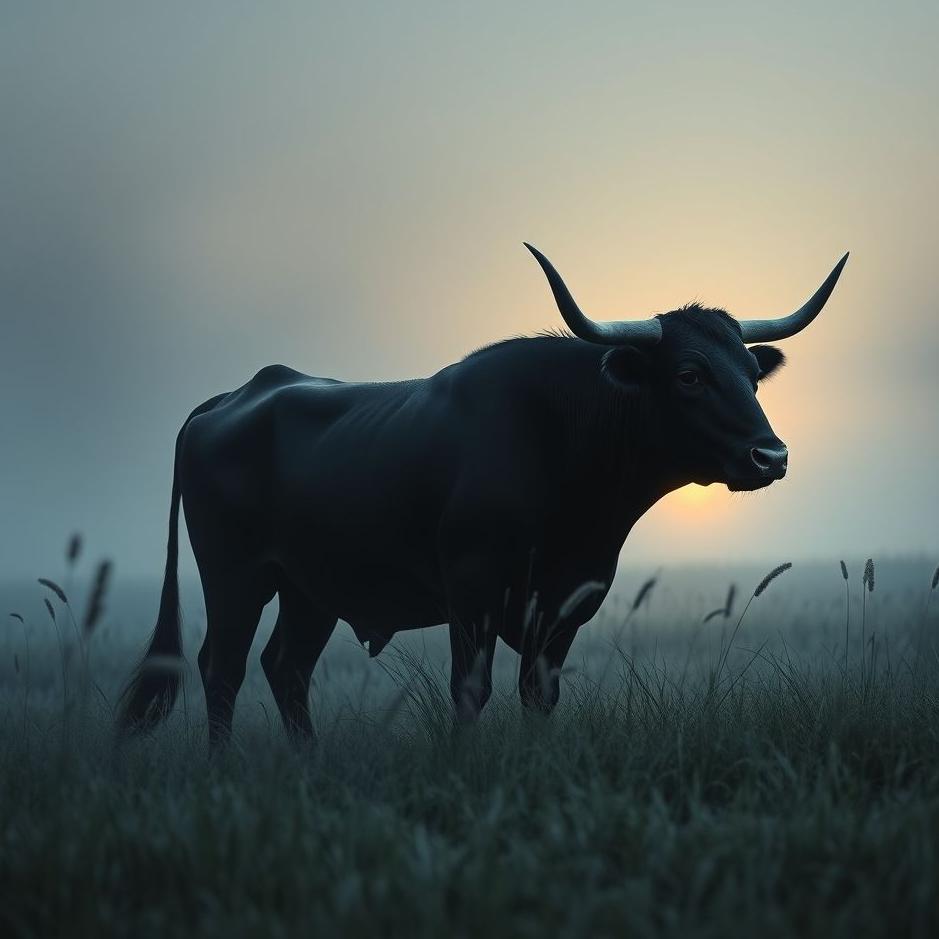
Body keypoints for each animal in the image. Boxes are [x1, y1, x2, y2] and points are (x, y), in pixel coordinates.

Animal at [118, 244, 848, 744]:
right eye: (690, 374)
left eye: (751, 370)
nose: (771, 455)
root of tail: (238, 393)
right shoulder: (471, 594)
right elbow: (469, 691)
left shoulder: (563, 605)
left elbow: (537, 695)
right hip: (236, 576)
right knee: (223, 668)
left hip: (310, 587)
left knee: (285, 667)